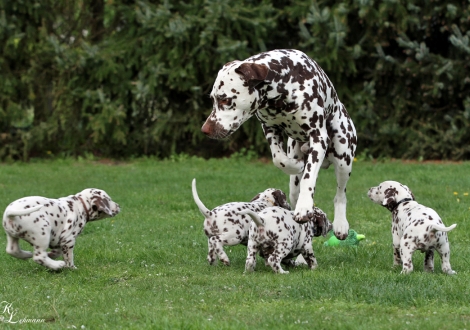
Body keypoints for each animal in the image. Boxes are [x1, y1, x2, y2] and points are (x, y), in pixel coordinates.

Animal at [200, 48, 358, 240]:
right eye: (213, 99)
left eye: (225, 100)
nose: (205, 130)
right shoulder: (269, 128)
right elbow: (279, 159)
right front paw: (296, 165)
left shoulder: (318, 137)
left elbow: (309, 178)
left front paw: (305, 206)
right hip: (293, 183)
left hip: (343, 160)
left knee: (340, 195)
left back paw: (341, 224)